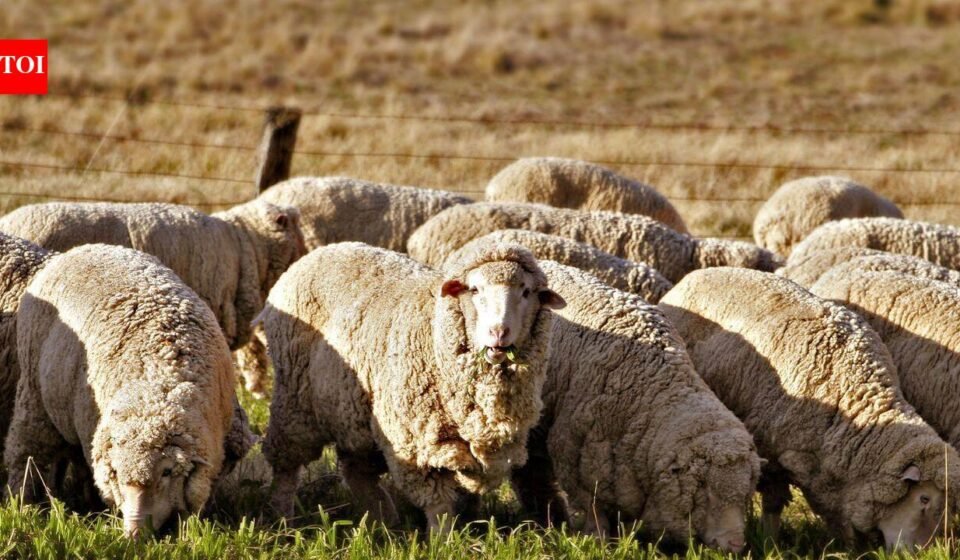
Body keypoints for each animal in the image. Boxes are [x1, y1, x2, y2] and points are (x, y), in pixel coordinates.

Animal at [4, 244, 235, 537]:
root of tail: (82, 248)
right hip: (34, 392)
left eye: (167, 472)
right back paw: (22, 503)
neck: (159, 381)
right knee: (26, 451)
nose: (134, 534)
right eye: (117, 474)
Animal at [260, 242, 565, 530]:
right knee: (287, 465)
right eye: (475, 290)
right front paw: (442, 540)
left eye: (526, 292)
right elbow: (438, 504)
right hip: (294, 400)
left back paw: (383, 521)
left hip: (353, 412)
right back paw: (283, 517)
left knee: (356, 470)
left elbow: (469, 491)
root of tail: (319, 252)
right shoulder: (416, 442)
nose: (499, 333)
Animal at [510, 260, 760, 552]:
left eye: (746, 493)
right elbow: (593, 509)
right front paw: (598, 543)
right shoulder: (575, 457)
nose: (736, 545)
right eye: (706, 492)